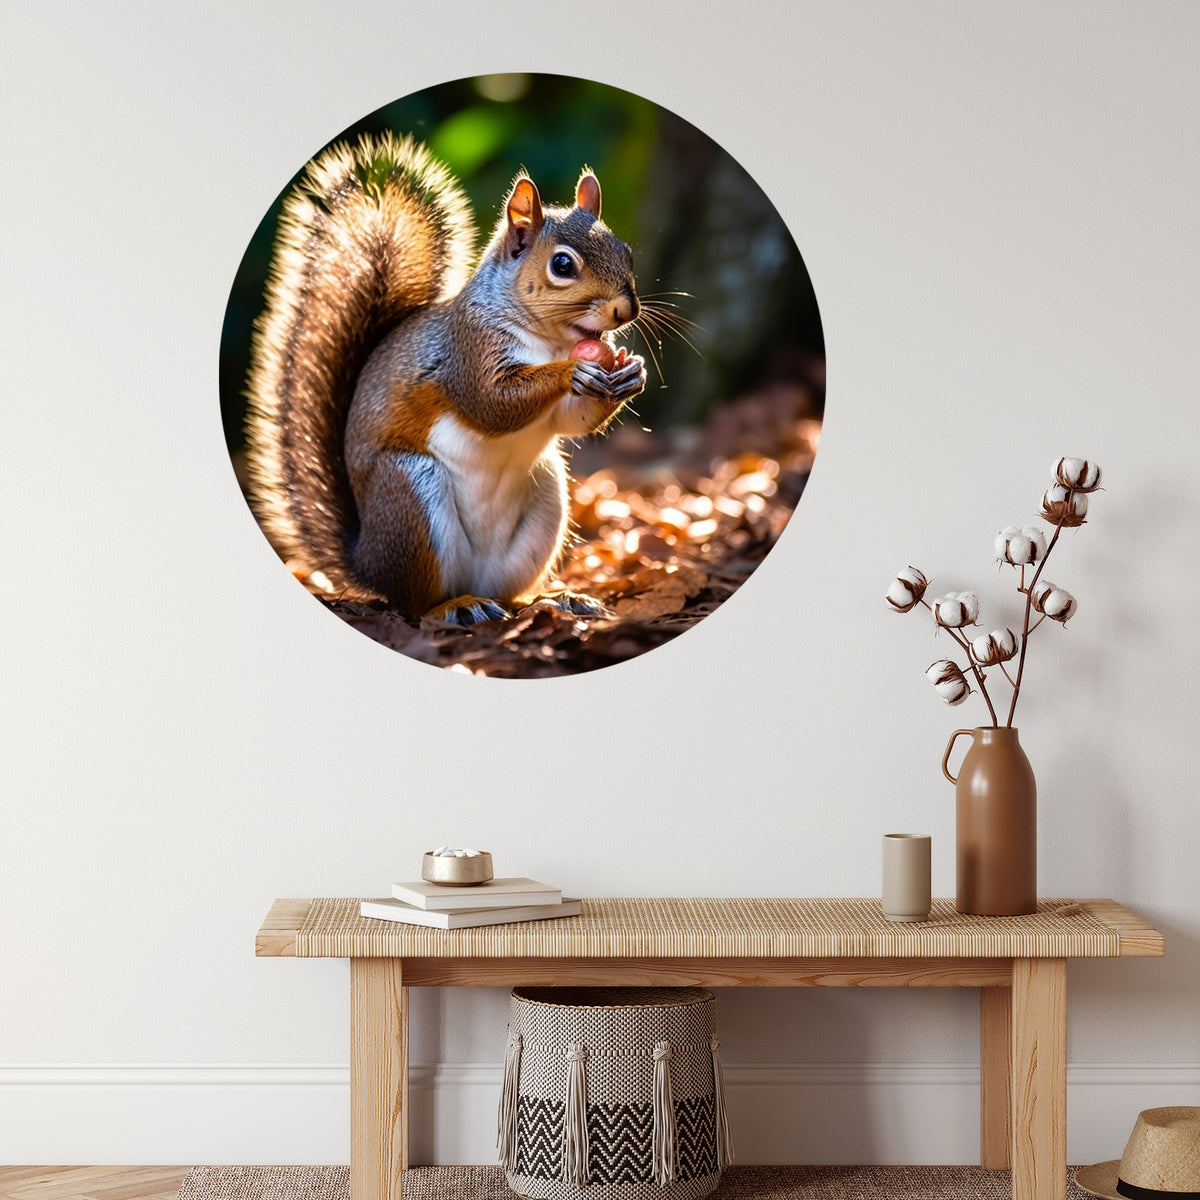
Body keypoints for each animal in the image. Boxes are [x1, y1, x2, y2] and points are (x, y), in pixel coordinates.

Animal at [244, 132, 647, 625]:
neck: (551, 341)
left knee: (507, 593)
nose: (627, 311)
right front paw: (572, 372)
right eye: (563, 266)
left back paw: (551, 599)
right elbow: (491, 404)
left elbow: (571, 420)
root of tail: (366, 563)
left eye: (626, 252)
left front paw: (630, 373)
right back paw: (456, 606)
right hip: (412, 494)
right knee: (417, 604)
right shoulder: (466, 353)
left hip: (545, 500)